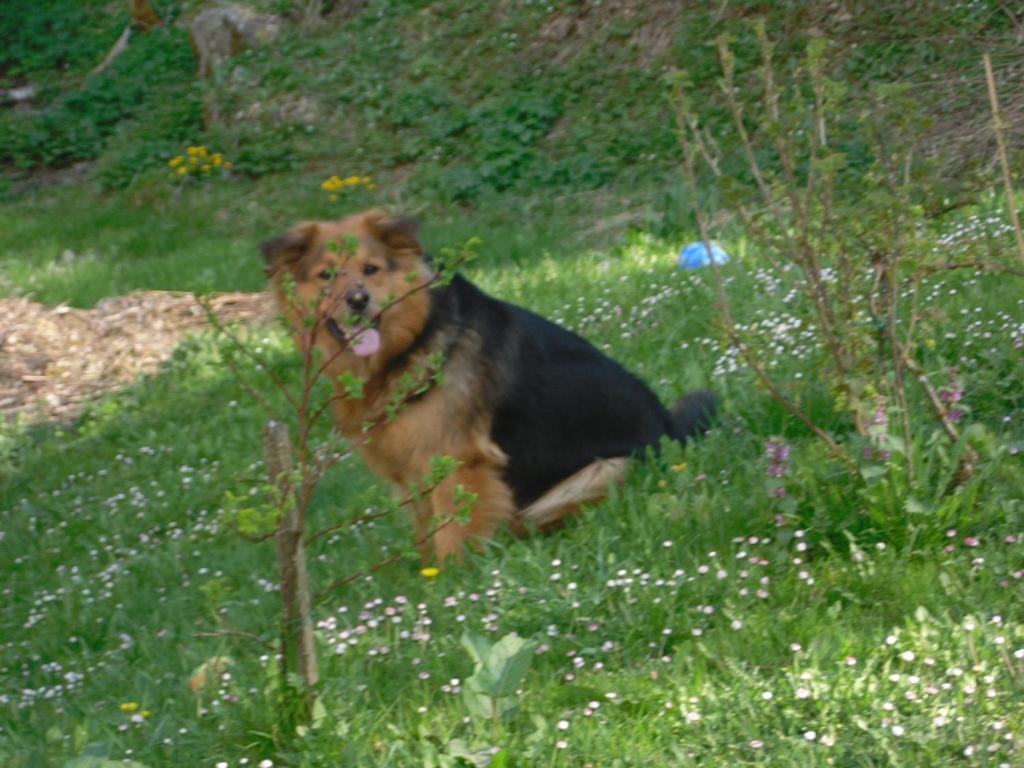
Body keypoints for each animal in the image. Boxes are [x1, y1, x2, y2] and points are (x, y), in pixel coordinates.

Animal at [260, 210, 716, 565]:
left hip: (606, 469)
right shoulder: (413, 470)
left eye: (371, 269)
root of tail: (676, 432)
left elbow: (451, 533)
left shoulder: (457, 461)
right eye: (326, 275)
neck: (410, 343)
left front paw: (452, 584)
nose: (357, 300)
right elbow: (427, 530)